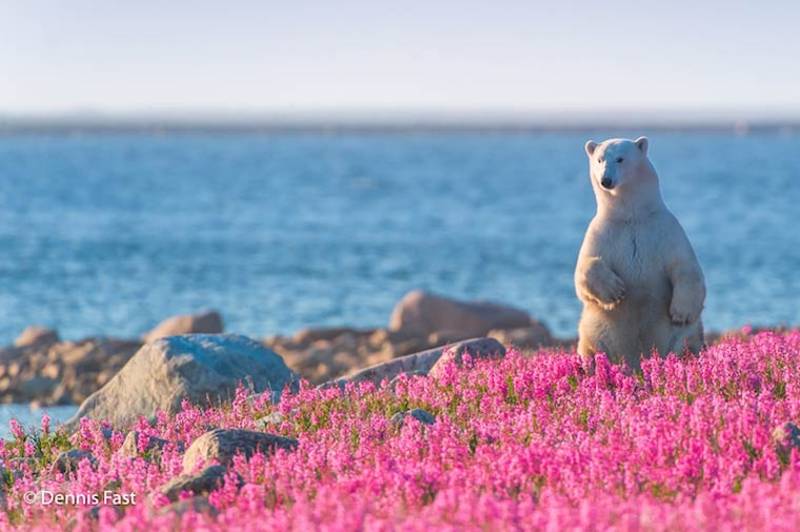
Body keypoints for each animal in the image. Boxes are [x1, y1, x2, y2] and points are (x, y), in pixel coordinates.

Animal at [575, 136, 705, 370]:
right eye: (599, 160)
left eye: (620, 158)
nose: (606, 180)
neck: (631, 215)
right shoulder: (602, 232)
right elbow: (584, 270)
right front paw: (615, 290)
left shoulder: (665, 230)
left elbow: (685, 266)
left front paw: (680, 312)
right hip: (594, 330)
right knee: (591, 348)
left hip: (680, 337)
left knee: (686, 343)